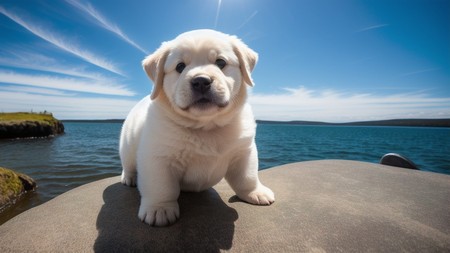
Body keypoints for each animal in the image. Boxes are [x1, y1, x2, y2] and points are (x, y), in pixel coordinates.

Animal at [120, 29, 274, 227]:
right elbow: (161, 187)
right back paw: (129, 178)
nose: (201, 81)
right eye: (180, 66)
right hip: (127, 146)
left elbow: (247, 177)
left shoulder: (244, 152)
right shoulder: (157, 158)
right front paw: (159, 209)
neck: (206, 126)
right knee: (129, 165)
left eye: (221, 62)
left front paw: (255, 192)